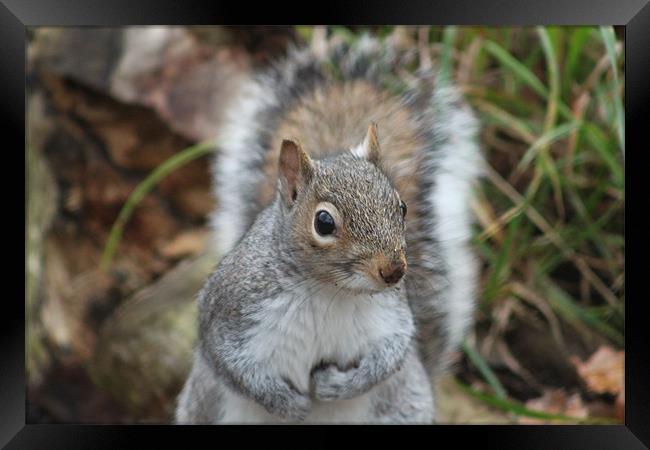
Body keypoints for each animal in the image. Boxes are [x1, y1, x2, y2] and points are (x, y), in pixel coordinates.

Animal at [175, 33, 478, 424]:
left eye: (402, 207)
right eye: (324, 222)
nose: (394, 271)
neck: (328, 292)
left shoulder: (393, 319)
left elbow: (390, 356)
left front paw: (337, 386)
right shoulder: (229, 312)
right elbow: (230, 364)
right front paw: (287, 403)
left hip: (405, 404)